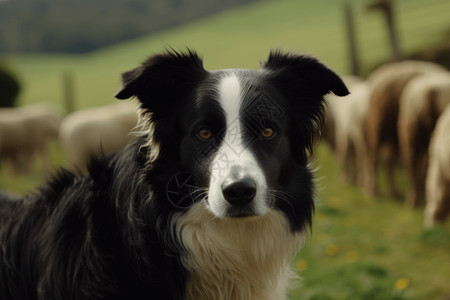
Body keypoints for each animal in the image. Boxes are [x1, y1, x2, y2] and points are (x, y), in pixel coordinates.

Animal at [362, 59, 446, 198]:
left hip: (399, 135)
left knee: (392, 162)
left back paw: (396, 193)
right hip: (380, 128)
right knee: (373, 157)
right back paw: (375, 192)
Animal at [398, 71, 450, 207]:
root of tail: (428, 94)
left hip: (411, 136)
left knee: (412, 166)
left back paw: (413, 200)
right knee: (418, 167)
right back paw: (417, 200)